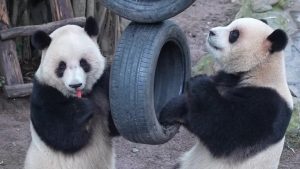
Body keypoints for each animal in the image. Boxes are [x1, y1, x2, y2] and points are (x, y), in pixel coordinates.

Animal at [159, 17, 292, 168]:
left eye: (234, 34)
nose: (211, 32)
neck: (259, 69)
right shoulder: (227, 78)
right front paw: (170, 110)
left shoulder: (267, 104)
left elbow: (224, 130)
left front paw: (199, 83)